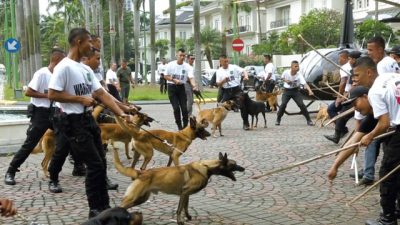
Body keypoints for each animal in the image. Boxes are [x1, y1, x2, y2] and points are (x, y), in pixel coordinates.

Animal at [112, 149, 244, 225]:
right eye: (234, 164)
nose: (243, 168)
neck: (207, 167)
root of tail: (141, 173)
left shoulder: (186, 194)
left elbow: (185, 207)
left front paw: (188, 217)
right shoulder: (185, 192)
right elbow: (179, 209)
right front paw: (180, 221)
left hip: (141, 199)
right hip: (135, 197)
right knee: (120, 207)